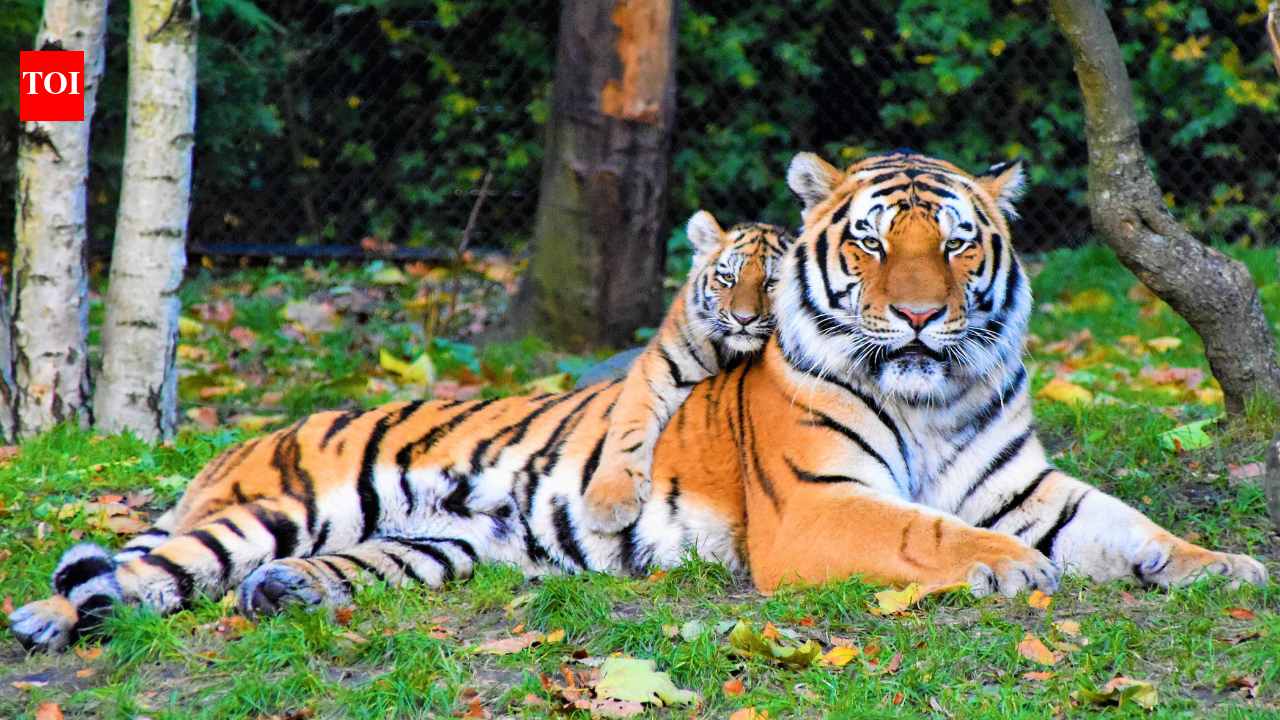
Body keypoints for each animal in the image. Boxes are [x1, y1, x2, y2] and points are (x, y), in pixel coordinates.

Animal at [581, 212, 793, 532]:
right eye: (729, 278)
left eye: (772, 282)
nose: (744, 319)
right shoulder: (657, 368)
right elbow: (629, 427)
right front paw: (609, 503)